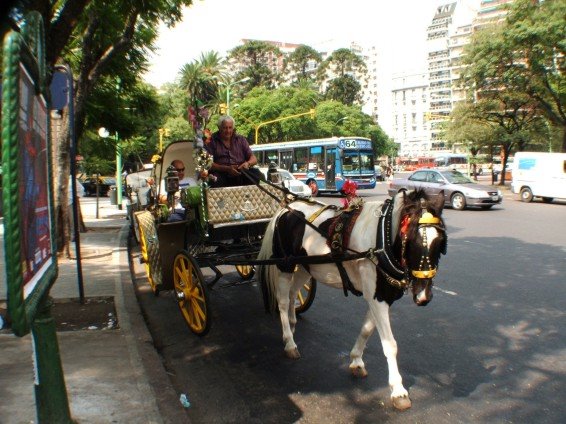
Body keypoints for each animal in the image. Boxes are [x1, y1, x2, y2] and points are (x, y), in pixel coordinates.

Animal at [258, 190, 448, 410]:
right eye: (411, 241)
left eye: (440, 242)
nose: (423, 296)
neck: (382, 237)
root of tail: (286, 208)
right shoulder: (377, 296)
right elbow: (390, 344)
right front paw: (398, 390)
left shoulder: (382, 296)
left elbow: (366, 329)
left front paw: (356, 360)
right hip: (285, 265)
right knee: (281, 301)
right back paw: (289, 341)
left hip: (305, 268)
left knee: (292, 295)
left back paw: (292, 323)